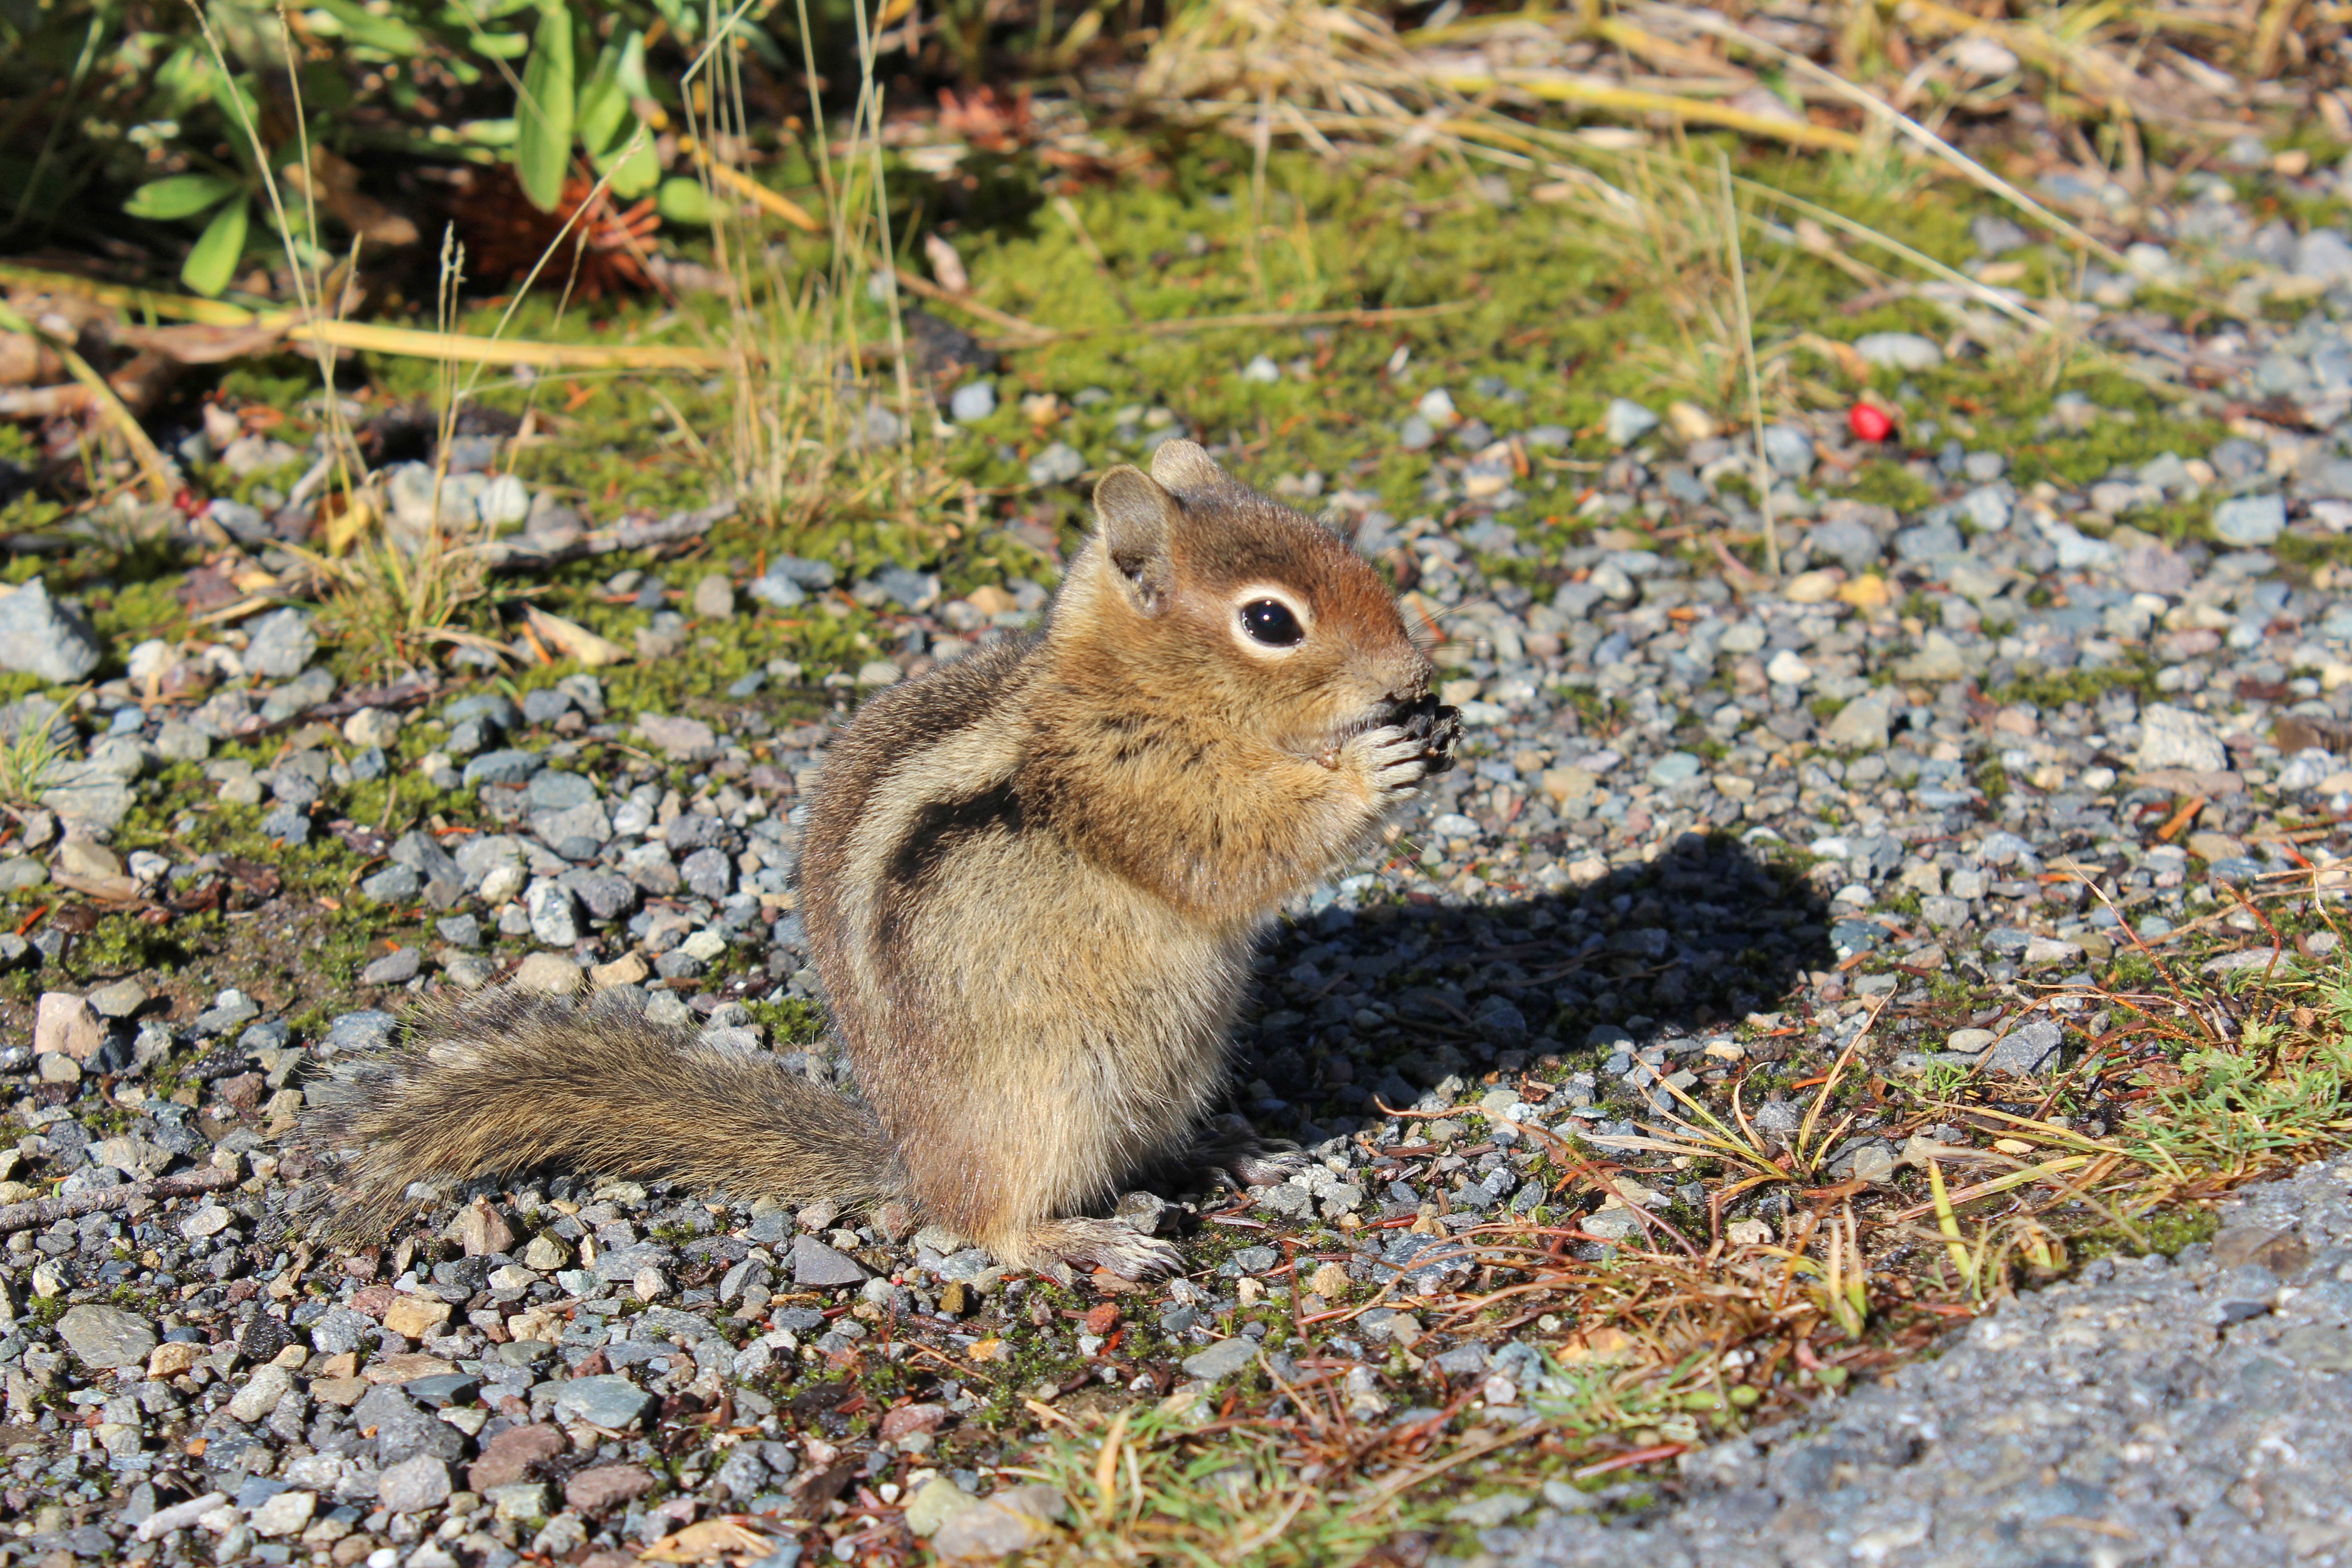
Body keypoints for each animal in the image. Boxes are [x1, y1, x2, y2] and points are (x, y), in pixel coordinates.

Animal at [294, 439, 1449, 1279]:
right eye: (1270, 619)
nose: (1415, 674)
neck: (1133, 688)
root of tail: (910, 1163)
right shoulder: (1133, 785)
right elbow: (1233, 848)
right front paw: (1372, 767)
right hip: (1041, 1108)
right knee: (984, 1225)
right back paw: (1081, 1238)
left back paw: (1230, 1146)